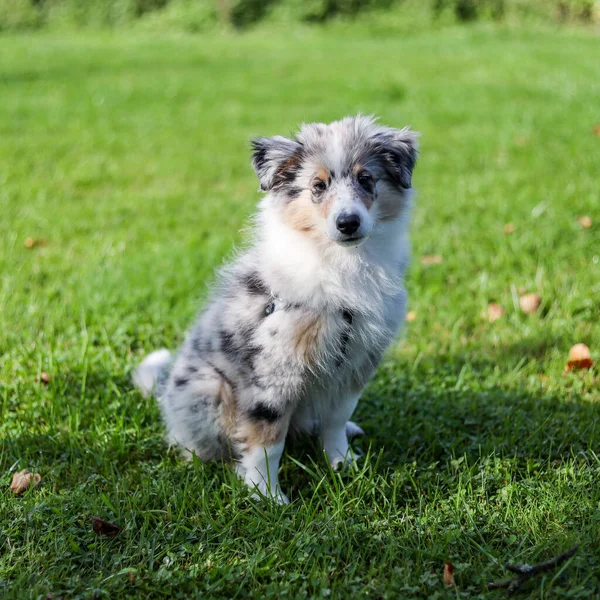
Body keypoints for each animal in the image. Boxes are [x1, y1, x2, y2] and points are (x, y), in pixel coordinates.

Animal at [134, 115, 420, 504]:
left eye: (366, 179)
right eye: (318, 185)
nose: (348, 223)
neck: (339, 261)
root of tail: (165, 395)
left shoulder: (357, 360)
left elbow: (336, 417)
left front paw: (342, 463)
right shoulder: (273, 369)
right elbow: (267, 441)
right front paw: (267, 497)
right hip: (208, 392)